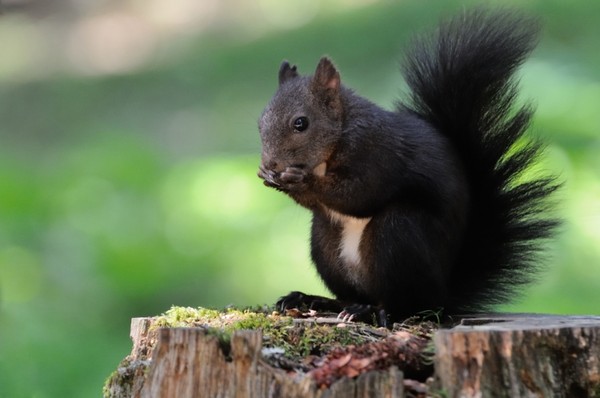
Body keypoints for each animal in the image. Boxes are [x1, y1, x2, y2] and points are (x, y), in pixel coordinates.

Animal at [256, 9, 556, 326]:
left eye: (301, 123)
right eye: (260, 122)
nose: (270, 163)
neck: (340, 132)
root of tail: (444, 295)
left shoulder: (378, 153)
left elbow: (359, 195)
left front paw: (299, 180)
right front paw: (271, 176)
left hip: (399, 234)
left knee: (408, 304)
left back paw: (373, 311)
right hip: (325, 243)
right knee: (351, 293)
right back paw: (315, 300)